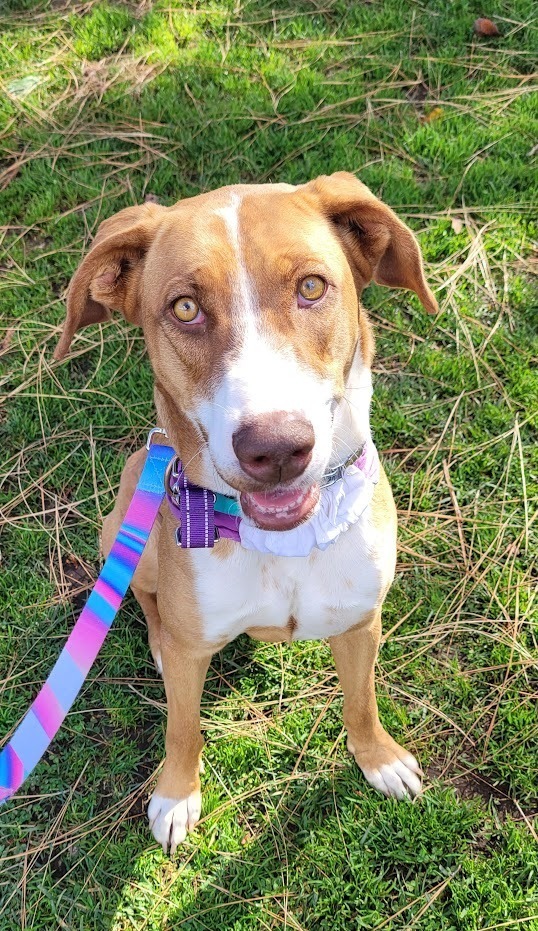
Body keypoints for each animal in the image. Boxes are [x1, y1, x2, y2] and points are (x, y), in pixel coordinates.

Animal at [54, 171, 436, 856]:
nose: (277, 447)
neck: (283, 543)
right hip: (126, 520)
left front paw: (379, 758)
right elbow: (182, 727)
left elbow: (362, 701)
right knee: (148, 601)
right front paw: (176, 795)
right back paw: (159, 640)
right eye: (184, 308)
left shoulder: (362, 622)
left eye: (312, 287)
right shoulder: (190, 657)